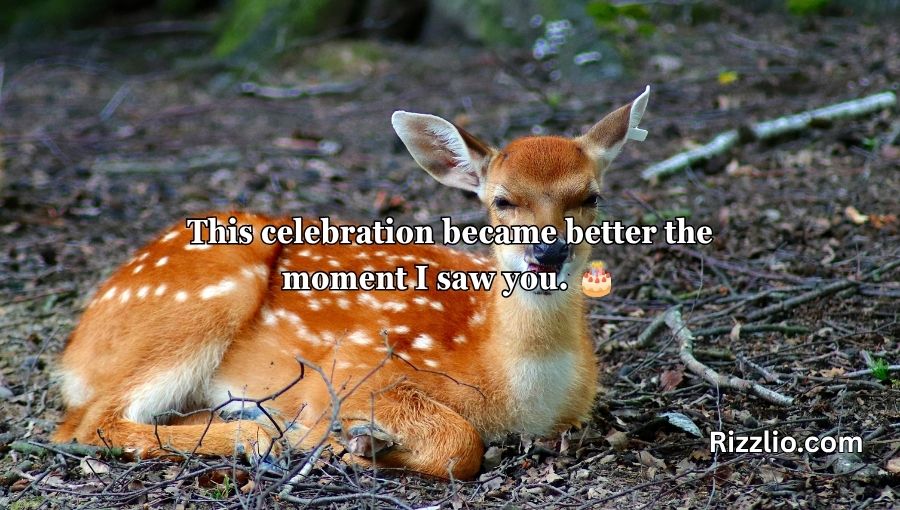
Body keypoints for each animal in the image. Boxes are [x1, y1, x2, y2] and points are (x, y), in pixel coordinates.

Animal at [53, 86, 650, 480]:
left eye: (590, 196)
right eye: (501, 200)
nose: (548, 253)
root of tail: (76, 348)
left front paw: (366, 445)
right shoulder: (349, 370)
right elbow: (461, 444)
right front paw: (351, 444)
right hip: (202, 300)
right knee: (88, 422)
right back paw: (270, 434)